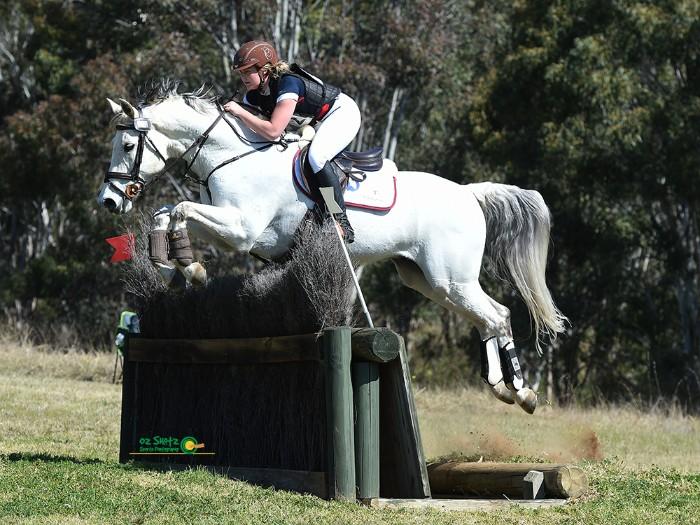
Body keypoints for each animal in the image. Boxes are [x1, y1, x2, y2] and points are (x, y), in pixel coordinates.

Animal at [98, 82, 567, 414]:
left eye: (127, 145)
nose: (109, 201)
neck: (231, 158)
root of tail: (469, 193)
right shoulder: (235, 227)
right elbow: (165, 211)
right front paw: (171, 265)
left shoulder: (242, 229)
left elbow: (179, 209)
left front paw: (189, 267)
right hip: (429, 281)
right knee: (488, 319)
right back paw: (504, 389)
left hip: (451, 278)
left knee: (498, 315)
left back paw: (522, 392)